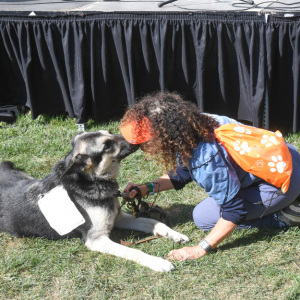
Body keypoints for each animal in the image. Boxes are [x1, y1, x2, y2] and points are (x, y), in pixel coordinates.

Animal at [0, 131, 189, 272]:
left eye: (110, 132)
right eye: (107, 145)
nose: (137, 138)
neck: (94, 181)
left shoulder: (119, 218)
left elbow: (154, 222)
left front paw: (174, 234)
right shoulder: (97, 239)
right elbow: (133, 250)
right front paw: (158, 262)